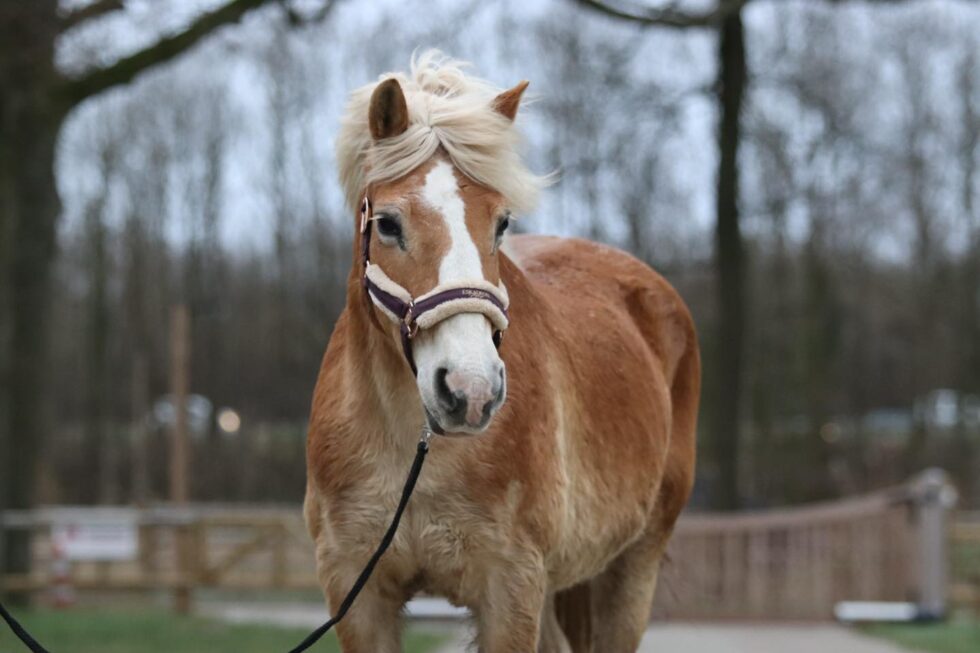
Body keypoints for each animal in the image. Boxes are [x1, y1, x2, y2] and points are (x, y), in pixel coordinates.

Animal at [304, 52, 696, 652]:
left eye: (502, 222)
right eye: (388, 224)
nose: (470, 391)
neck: (412, 451)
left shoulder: (511, 588)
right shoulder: (357, 593)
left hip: (633, 566)